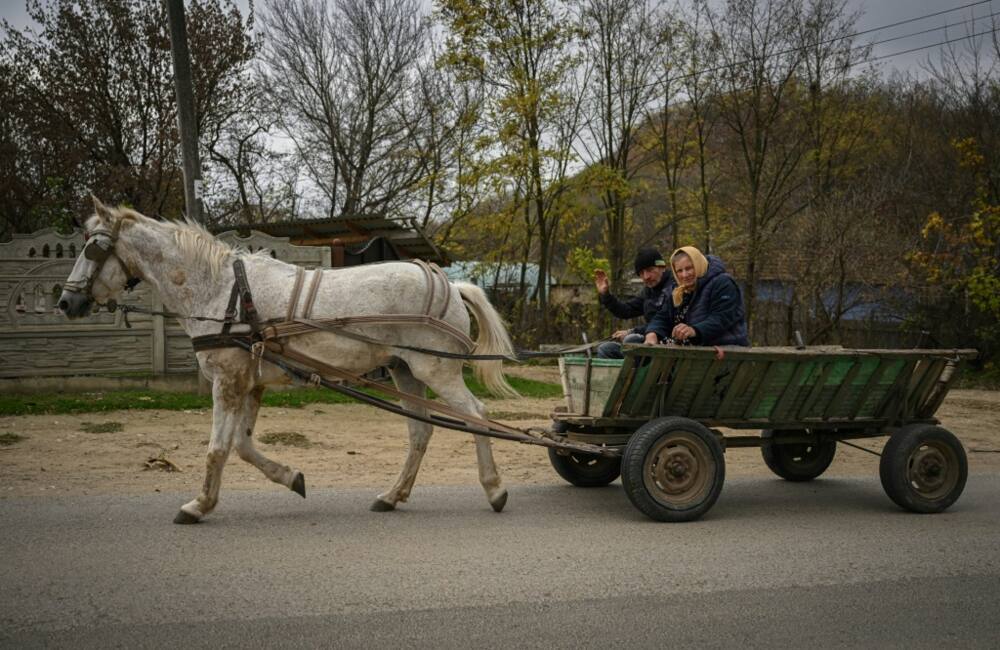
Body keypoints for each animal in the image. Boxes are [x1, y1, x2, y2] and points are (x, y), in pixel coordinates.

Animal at [58, 197, 520, 520]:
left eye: (93, 249)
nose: (65, 301)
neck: (223, 290)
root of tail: (451, 283)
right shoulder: (251, 383)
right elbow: (242, 445)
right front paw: (291, 478)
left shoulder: (227, 382)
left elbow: (217, 448)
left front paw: (199, 504)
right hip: (405, 372)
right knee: (420, 432)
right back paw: (393, 496)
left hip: (436, 370)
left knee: (476, 416)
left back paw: (495, 489)